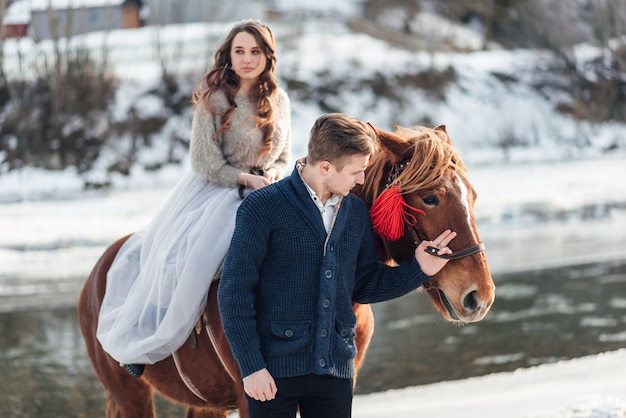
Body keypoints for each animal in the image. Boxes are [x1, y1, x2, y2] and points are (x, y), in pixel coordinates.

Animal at [78, 124, 494, 418]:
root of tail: (98, 271)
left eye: (473, 196)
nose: (480, 295)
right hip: (130, 395)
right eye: (430, 197)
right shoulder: (253, 397)